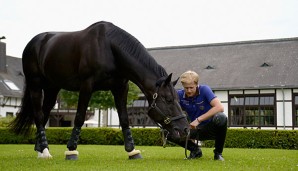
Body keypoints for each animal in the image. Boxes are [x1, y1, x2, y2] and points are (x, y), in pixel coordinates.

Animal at [10, 21, 190, 160]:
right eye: (168, 100)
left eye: (178, 99)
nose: (185, 129)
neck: (109, 47)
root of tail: (35, 42)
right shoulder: (86, 86)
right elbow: (80, 117)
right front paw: (71, 150)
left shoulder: (120, 88)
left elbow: (124, 119)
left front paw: (132, 151)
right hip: (35, 85)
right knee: (39, 116)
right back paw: (45, 151)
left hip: (52, 88)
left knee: (44, 113)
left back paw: (41, 151)